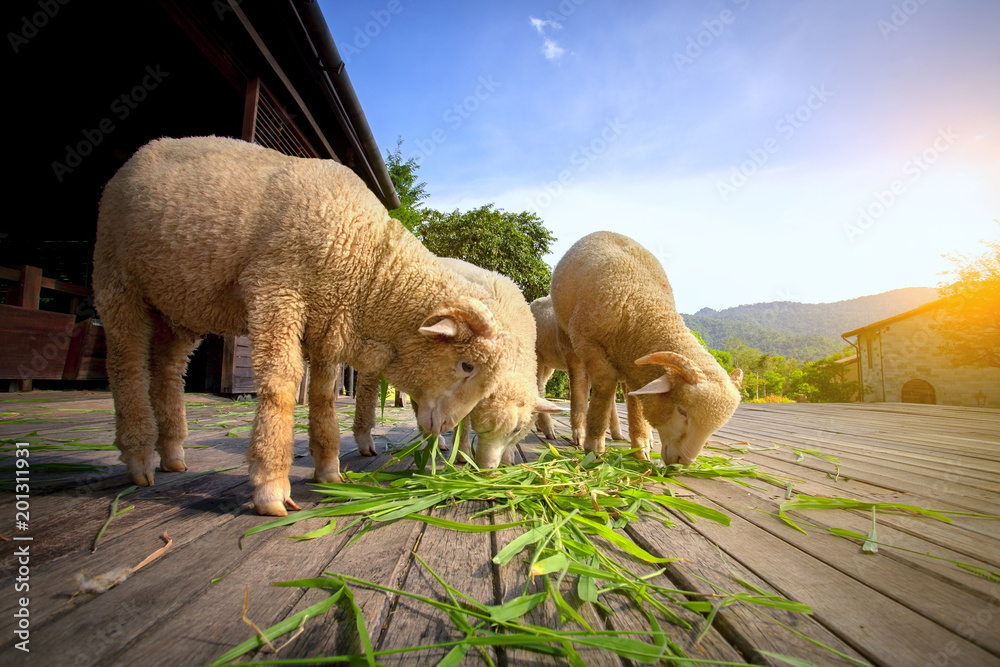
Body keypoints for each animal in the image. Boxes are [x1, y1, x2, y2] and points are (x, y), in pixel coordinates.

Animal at [92, 137, 524, 516]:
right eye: (466, 365)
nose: (450, 426)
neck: (368, 266)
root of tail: (145, 150)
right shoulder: (276, 291)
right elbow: (282, 384)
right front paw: (271, 486)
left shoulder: (329, 320)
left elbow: (323, 394)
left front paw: (329, 469)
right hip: (118, 278)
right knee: (126, 365)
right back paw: (139, 458)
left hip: (178, 306)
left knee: (168, 372)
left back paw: (172, 454)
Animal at [354, 258, 564, 468]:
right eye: (481, 427)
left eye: (517, 429)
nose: (486, 468)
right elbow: (463, 425)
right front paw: (463, 453)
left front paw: (507, 457)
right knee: (367, 386)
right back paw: (366, 438)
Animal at [528, 298, 620, 444]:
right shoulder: (573, 355)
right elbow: (578, 393)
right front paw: (580, 441)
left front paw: (618, 437)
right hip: (537, 355)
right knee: (538, 387)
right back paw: (551, 434)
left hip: (549, 364)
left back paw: (541, 429)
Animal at [548, 232, 744, 468]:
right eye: (682, 411)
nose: (682, 462)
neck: (640, 301)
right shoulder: (589, 343)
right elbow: (603, 386)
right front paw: (594, 447)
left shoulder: (634, 360)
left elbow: (635, 400)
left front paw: (640, 446)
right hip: (568, 338)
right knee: (579, 381)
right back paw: (580, 431)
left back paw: (625, 434)